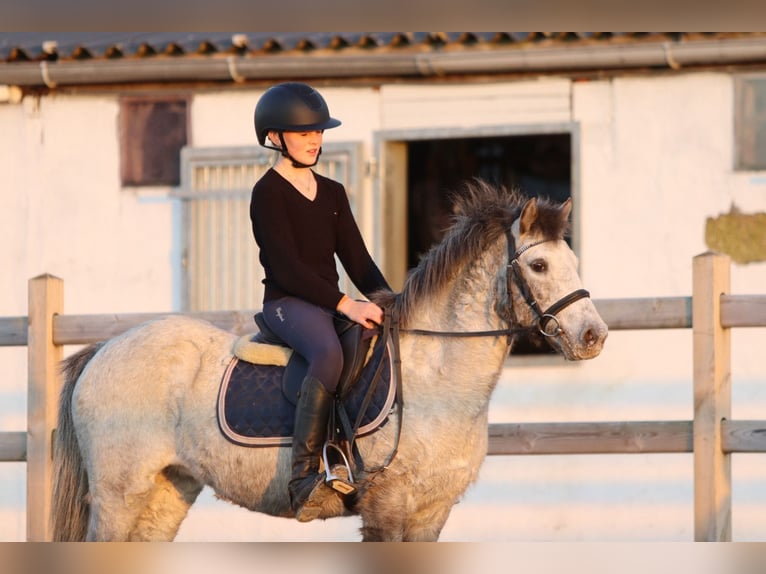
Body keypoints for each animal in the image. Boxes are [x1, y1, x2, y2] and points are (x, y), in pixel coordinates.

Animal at [51, 179, 608, 542]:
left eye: (574, 261)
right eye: (539, 265)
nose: (593, 336)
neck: (437, 381)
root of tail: (105, 350)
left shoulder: (431, 513)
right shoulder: (387, 509)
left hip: (166, 493)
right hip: (119, 495)